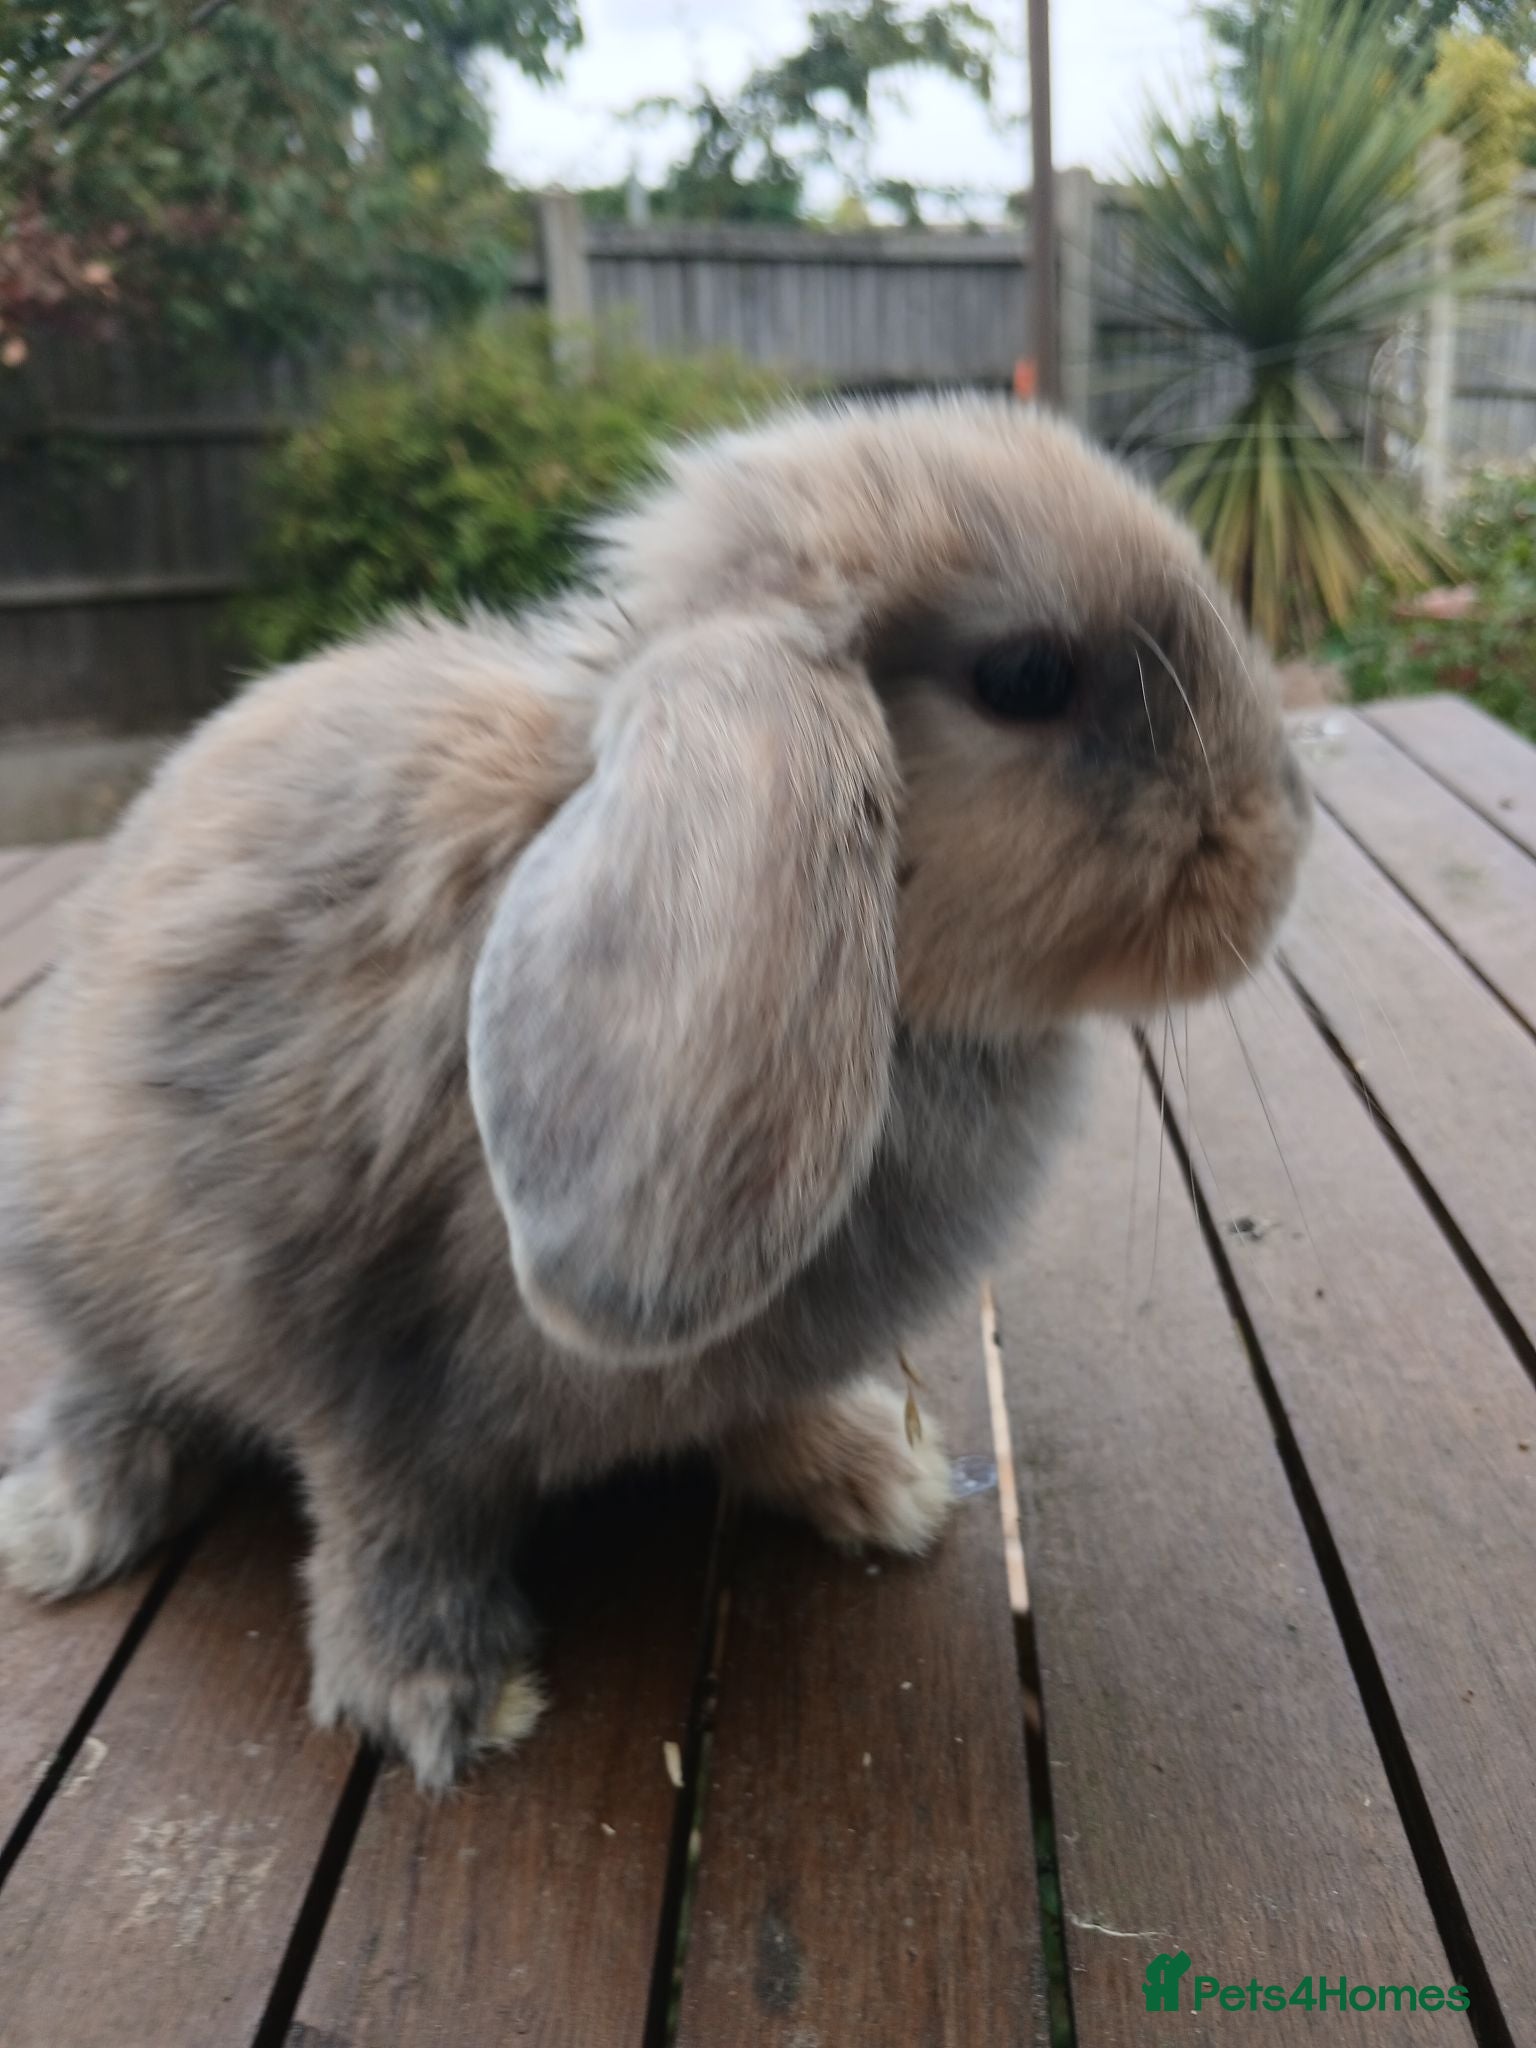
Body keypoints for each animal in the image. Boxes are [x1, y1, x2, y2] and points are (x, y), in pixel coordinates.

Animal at [0, 394, 1311, 1788]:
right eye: (1024, 680)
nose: (1280, 839)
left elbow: (762, 1414)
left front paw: (876, 1481)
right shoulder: (373, 1360)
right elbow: (392, 1518)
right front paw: (439, 1694)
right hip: (106, 1255)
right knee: (115, 1384)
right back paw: (63, 1522)